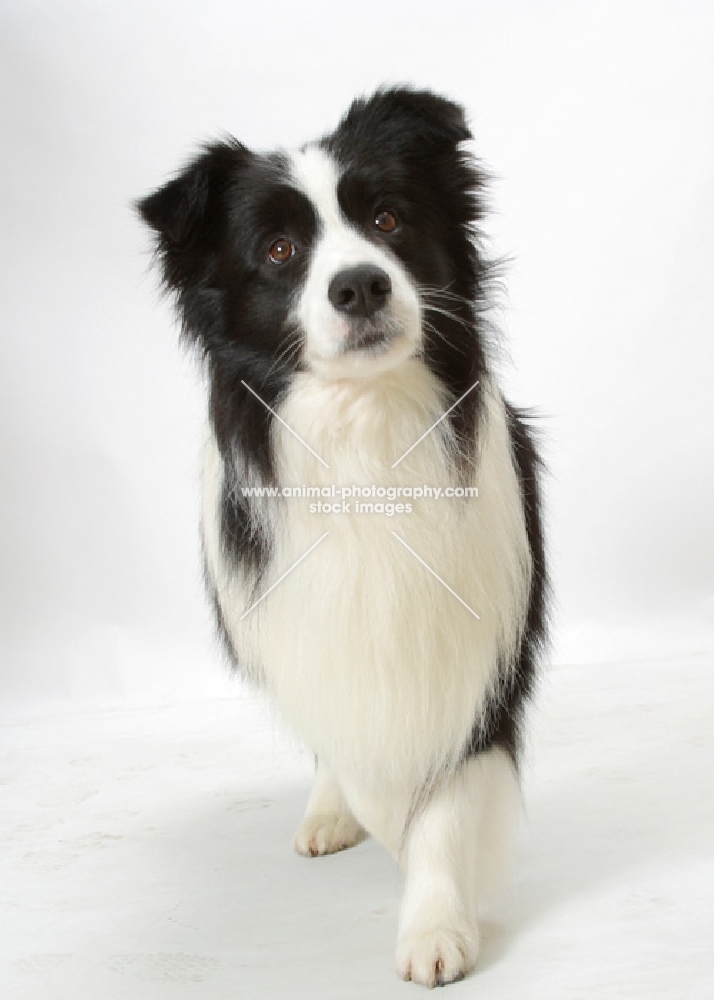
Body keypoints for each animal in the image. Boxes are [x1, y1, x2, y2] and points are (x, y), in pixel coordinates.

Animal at [142, 84, 548, 984]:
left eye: (389, 219)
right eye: (280, 249)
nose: (359, 285)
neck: (366, 430)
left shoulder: (483, 638)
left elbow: (444, 792)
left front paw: (435, 922)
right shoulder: (303, 626)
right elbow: (361, 749)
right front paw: (378, 820)